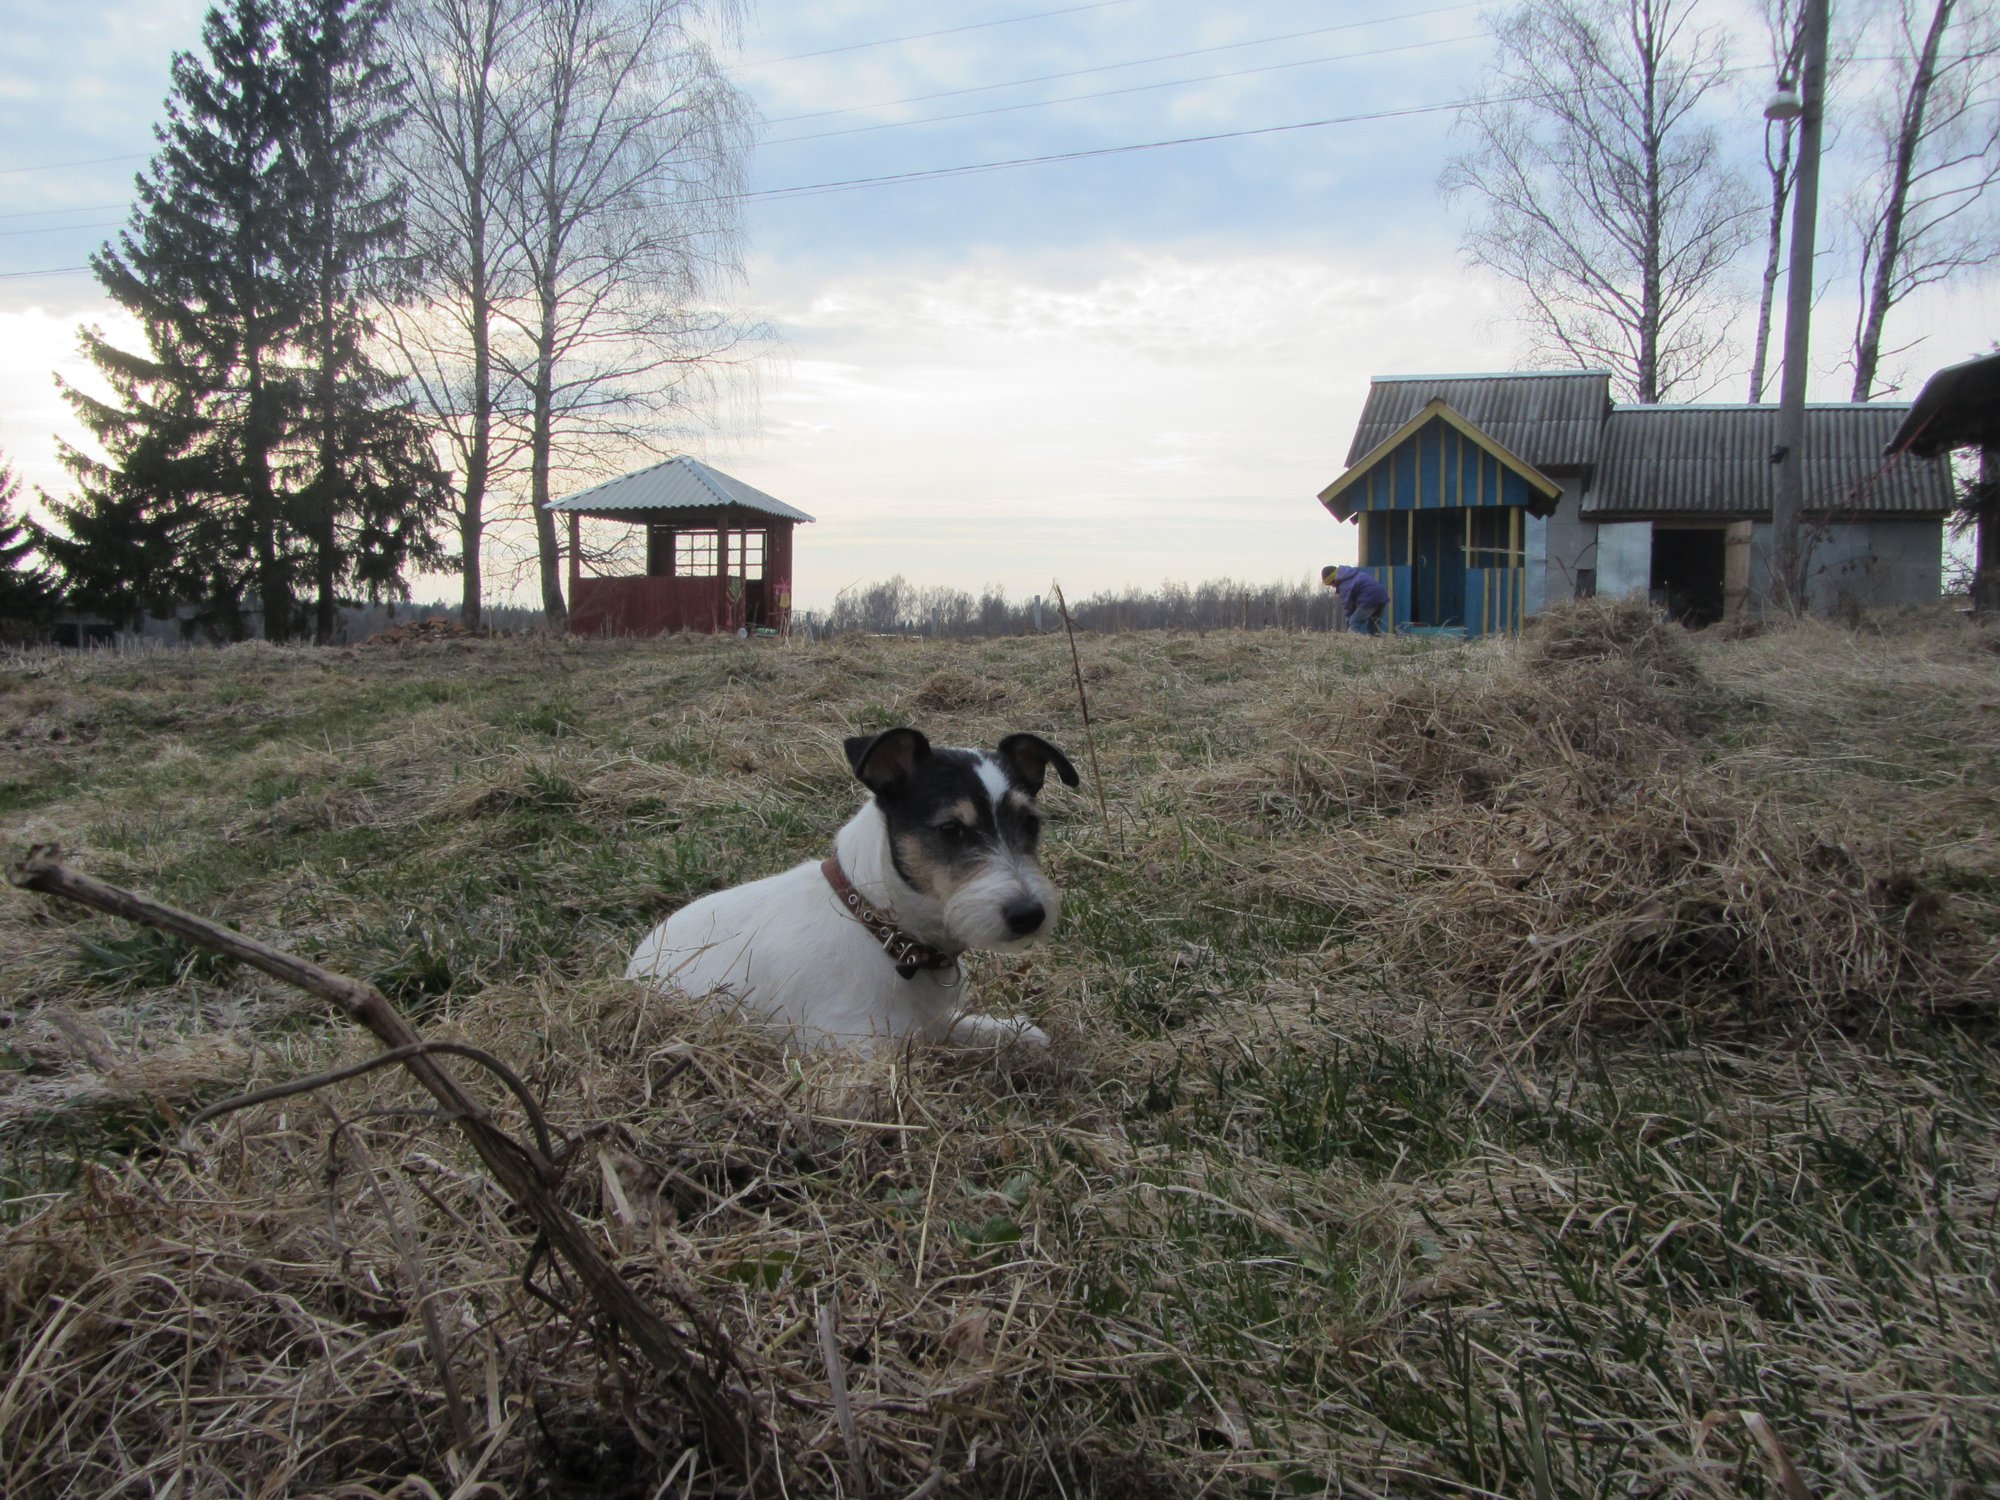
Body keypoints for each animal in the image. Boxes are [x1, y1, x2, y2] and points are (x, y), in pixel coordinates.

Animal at [632, 732, 1088, 1056]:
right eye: (951, 829)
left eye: (1030, 824)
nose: (1030, 914)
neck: (879, 927)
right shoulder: (853, 1046)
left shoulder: (931, 1019)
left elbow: (956, 1025)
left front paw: (1011, 1032)